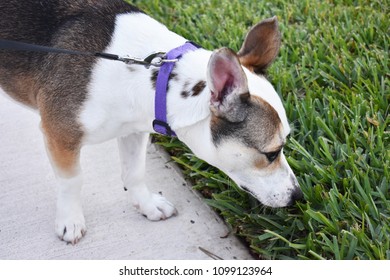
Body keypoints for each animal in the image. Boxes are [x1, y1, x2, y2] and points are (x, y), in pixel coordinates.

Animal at [0, 0, 302, 244]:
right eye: (271, 153)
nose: (297, 197)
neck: (153, 76)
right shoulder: (60, 135)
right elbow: (72, 181)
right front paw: (70, 220)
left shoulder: (133, 129)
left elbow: (134, 173)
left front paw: (146, 205)